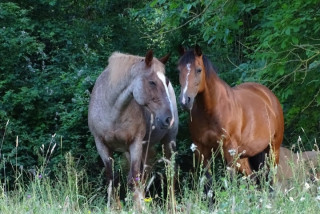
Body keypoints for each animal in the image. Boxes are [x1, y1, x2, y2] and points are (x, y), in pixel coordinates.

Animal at [88, 50, 178, 209]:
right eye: (152, 82)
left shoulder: (135, 144)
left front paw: (139, 208)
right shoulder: (102, 146)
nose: (168, 118)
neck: (113, 112)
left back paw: (170, 206)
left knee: (169, 173)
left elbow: (133, 180)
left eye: (166, 82)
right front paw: (116, 208)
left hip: (168, 141)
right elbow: (112, 179)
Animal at [178, 45, 284, 186]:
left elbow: (230, 182)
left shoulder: (229, 150)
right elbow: (208, 183)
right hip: (243, 157)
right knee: (252, 179)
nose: (185, 100)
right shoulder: (201, 151)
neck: (211, 111)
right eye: (179, 70)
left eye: (199, 70)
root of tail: (268, 96)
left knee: (271, 178)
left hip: (273, 149)